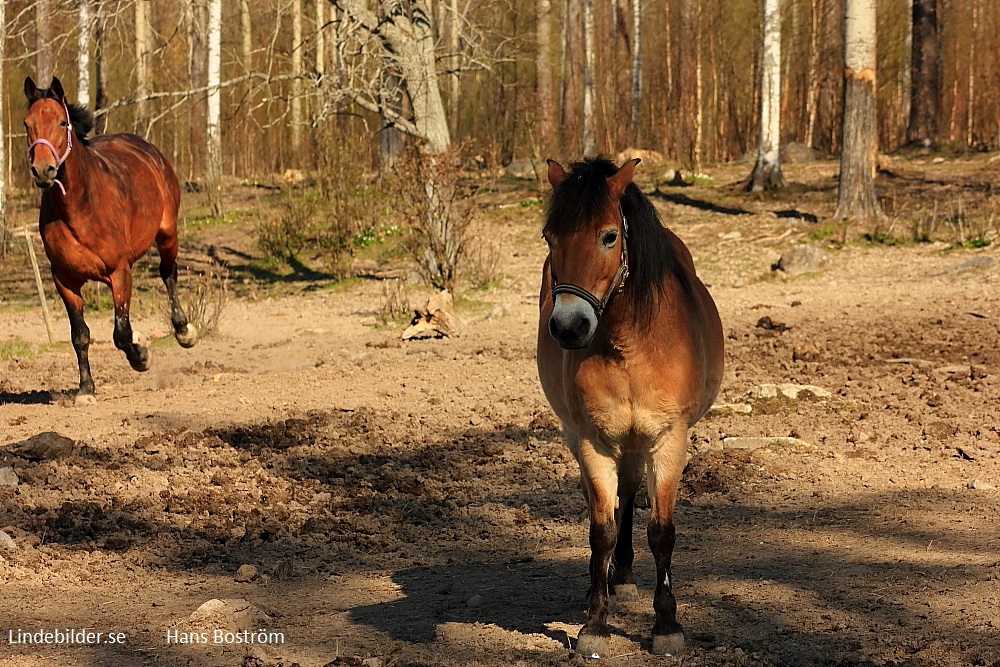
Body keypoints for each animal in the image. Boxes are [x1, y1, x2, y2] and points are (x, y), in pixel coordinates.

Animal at [23, 75, 196, 404]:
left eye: (62, 122)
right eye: (27, 124)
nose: (43, 170)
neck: (79, 208)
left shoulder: (119, 272)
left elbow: (121, 332)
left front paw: (141, 355)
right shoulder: (64, 281)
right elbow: (80, 335)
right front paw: (86, 389)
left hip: (168, 234)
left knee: (168, 274)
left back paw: (184, 331)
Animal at [536, 157, 724, 656]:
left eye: (608, 236)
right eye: (550, 238)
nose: (569, 326)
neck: (629, 347)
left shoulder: (668, 441)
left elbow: (661, 531)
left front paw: (667, 626)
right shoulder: (593, 440)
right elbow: (600, 527)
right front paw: (595, 623)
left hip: (639, 445)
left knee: (631, 490)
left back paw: (621, 578)